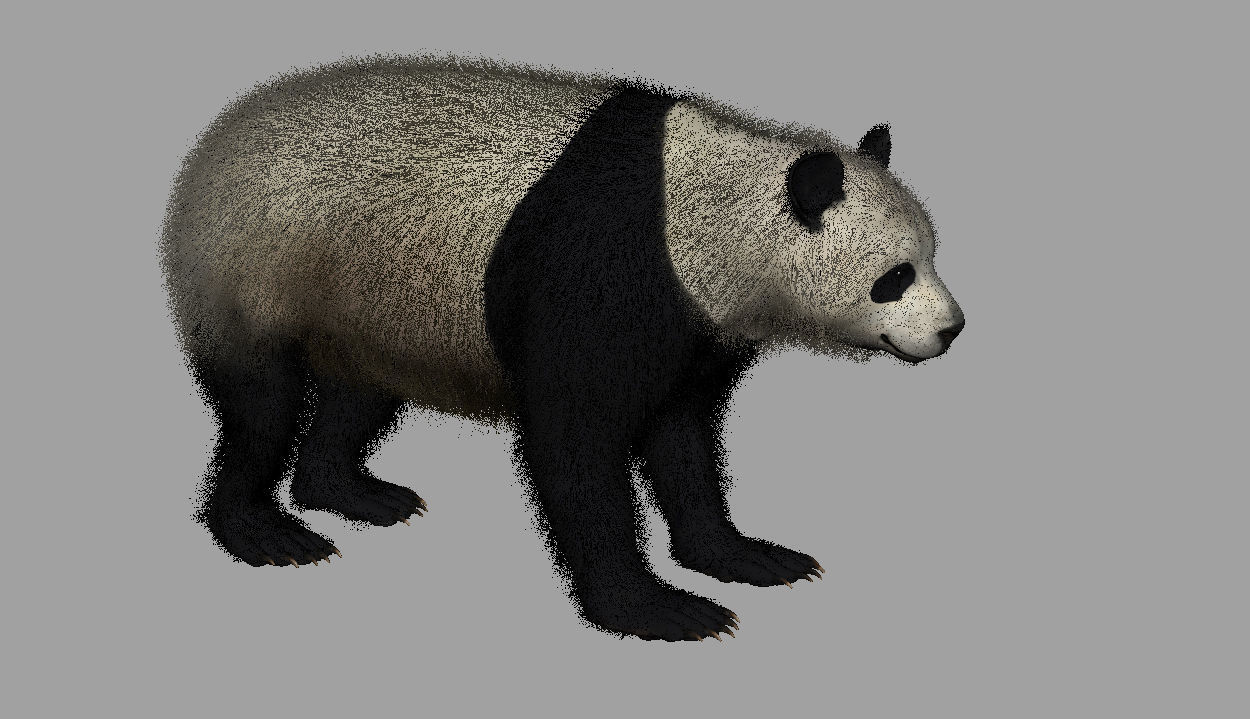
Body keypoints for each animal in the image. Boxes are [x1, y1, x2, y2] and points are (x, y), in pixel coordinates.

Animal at [160, 55, 965, 642]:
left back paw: (354, 493)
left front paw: (746, 557)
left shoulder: (697, 322)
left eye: (931, 255)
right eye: (894, 277)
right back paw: (267, 533)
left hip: (368, 296)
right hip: (255, 263)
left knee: (361, 391)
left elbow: (683, 439)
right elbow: (575, 441)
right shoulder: (600, 270)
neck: (714, 211)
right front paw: (657, 609)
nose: (952, 329)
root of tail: (213, 142)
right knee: (261, 405)